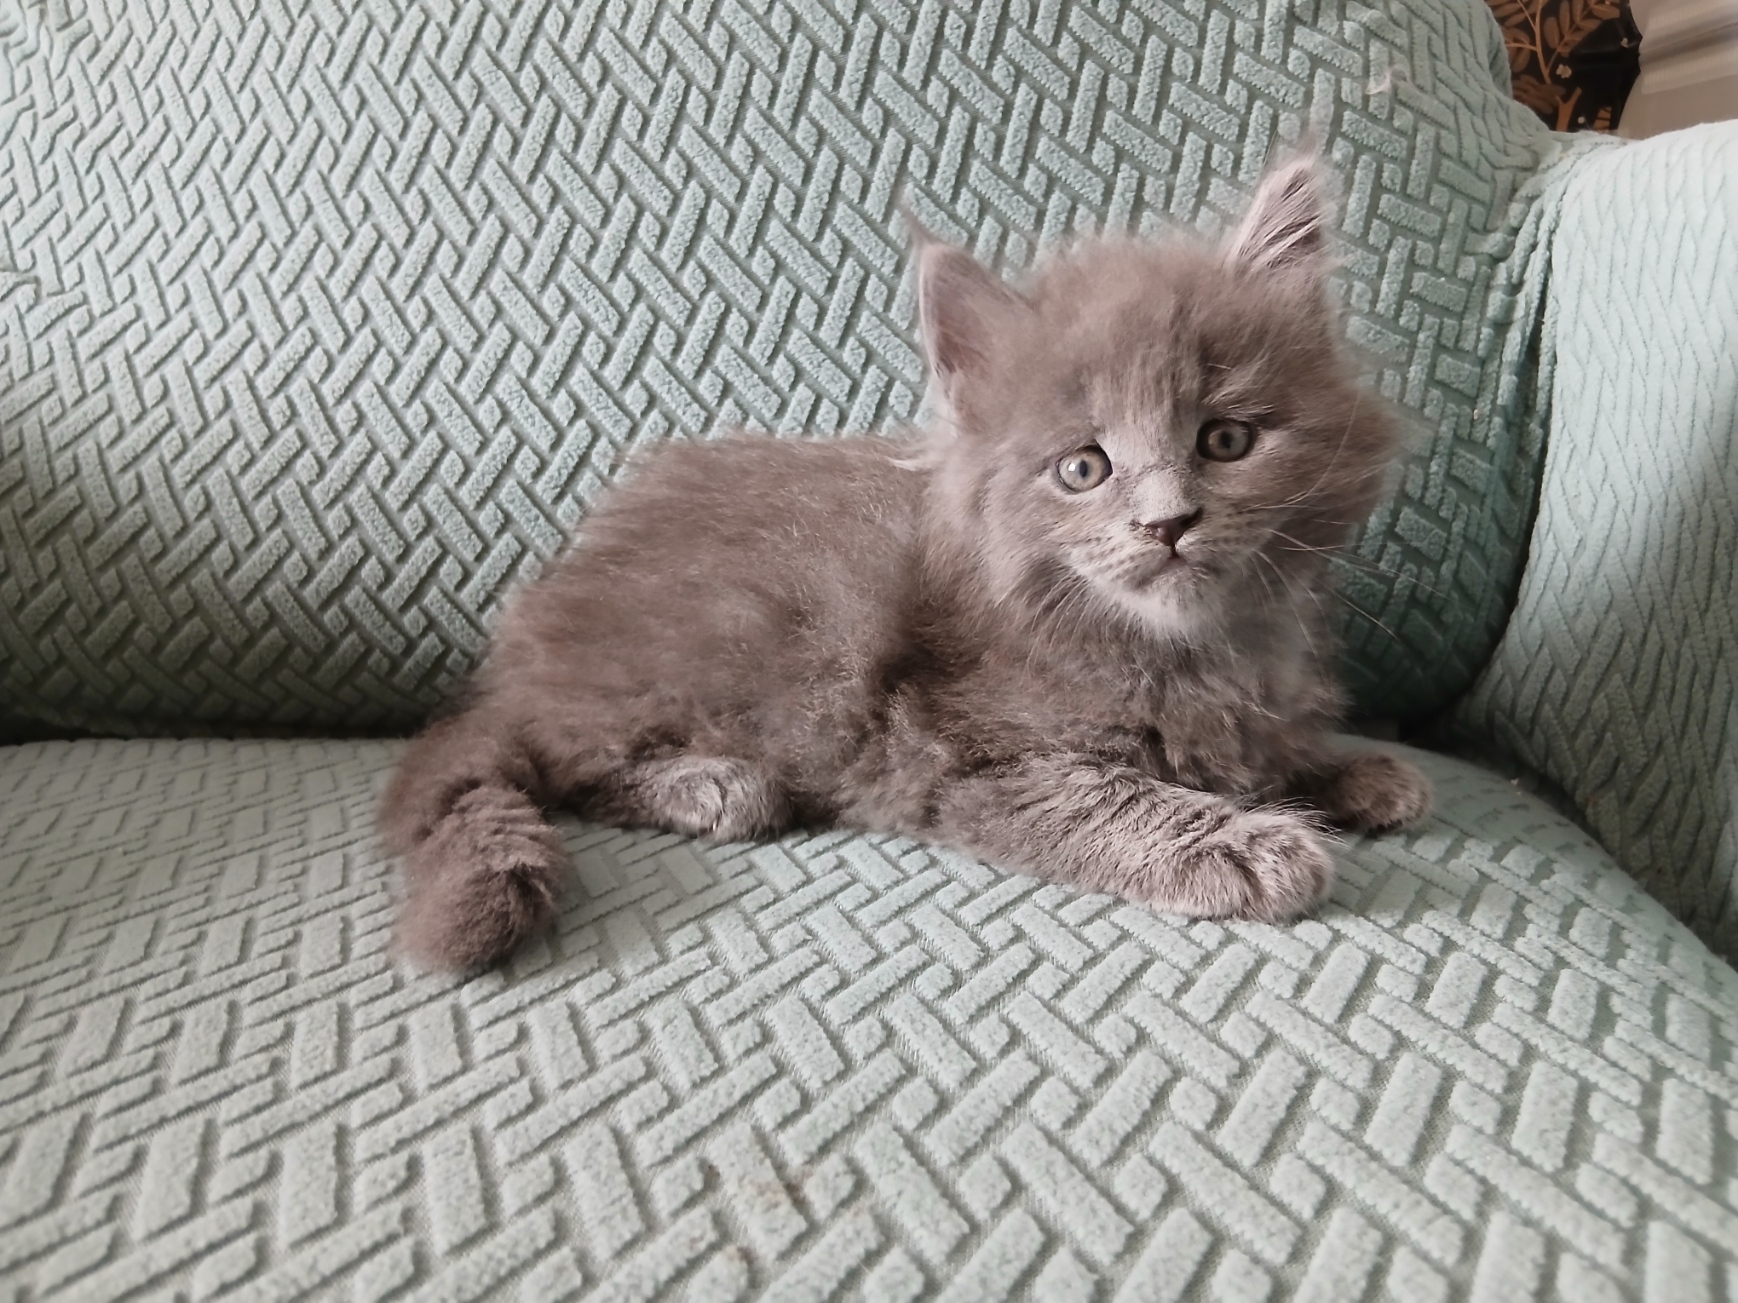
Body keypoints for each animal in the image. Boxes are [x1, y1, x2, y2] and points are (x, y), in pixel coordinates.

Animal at [380, 155, 1433, 972]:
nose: (1168, 522)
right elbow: (1113, 795)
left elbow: (1262, 749)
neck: (1183, 646)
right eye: (1083, 468)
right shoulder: (955, 752)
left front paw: (1347, 770)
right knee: (569, 760)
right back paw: (715, 785)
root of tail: (519, 658)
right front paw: (1247, 841)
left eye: (1225, 440)